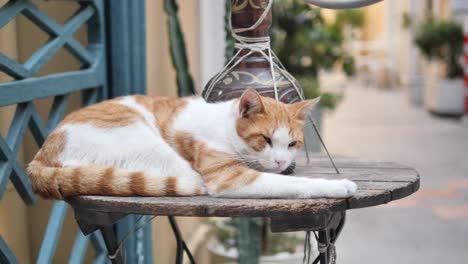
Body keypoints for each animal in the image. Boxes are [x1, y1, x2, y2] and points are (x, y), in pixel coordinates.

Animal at [27, 87, 356, 199]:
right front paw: (338, 186)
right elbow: (293, 183)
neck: (225, 127)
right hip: (151, 146)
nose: (280, 161)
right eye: (265, 139)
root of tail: (43, 151)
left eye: (292, 144)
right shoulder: (229, 178)